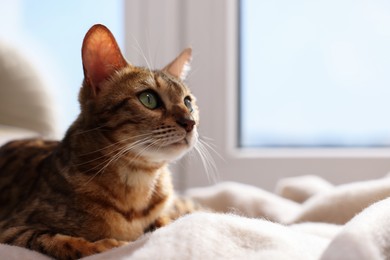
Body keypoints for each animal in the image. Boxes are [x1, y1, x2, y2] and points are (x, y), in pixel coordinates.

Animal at [0, 23, 200, 258]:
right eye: (148, 99)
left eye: (188, 102)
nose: (190, 122)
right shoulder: (11, 228)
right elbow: (62, 242)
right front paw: (108, 245)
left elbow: (169, 219)